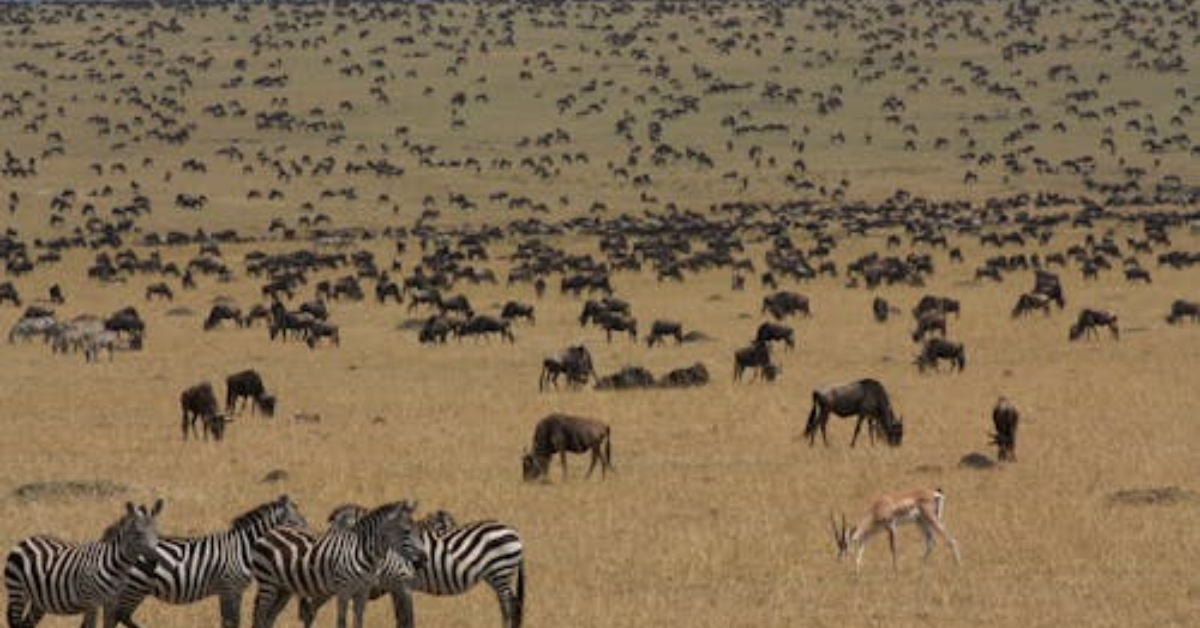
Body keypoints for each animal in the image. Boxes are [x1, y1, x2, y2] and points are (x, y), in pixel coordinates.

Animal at [831, 487, 961, 574]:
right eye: (839, 546)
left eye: (845, 545)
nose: (839, 560)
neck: (877, 508)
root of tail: (935, 493)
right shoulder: (871, 533)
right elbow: (861, 552)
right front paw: (857, 572)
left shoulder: (891, 527)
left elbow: (893, 548)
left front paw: (895, 570)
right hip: (920, 522)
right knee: (931, 542)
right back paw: (921, 565)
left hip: (931, 519)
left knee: (951, 539)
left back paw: (958, 565)